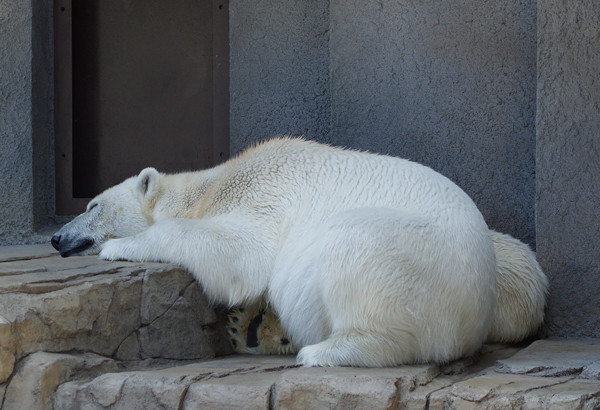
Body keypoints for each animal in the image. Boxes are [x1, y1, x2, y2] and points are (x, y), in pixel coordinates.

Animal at [52, 138, 548, 368]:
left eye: (91, 206)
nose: (56, 238)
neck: (212, 185)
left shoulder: (260, 196)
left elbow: (247, 253)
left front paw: (117, 246)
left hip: (419, 259)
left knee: (353, 249)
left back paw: (324, 351)